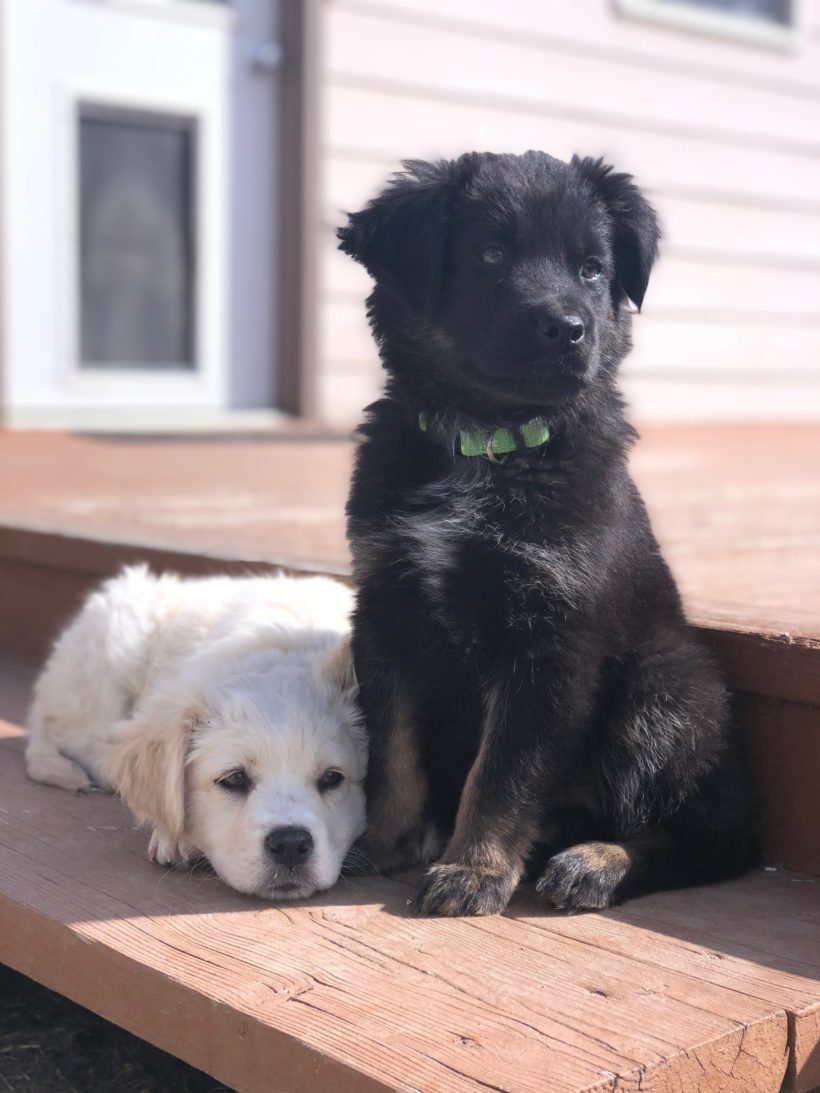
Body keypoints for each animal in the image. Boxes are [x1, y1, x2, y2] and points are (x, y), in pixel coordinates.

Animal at [26, 568, 365, 900]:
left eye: (332, 778)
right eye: (234, 779)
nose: (291, 844)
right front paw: (178, 838)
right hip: (110, 656)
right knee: (74, 734)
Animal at [341, 151, 756, 913]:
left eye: (592, 268)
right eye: (490, 255)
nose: (567, 328)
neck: (487, 442)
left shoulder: (553, 636)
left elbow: (504, 771)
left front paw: (472, 870)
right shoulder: (387, 608)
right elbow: (393, 750)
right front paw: (382, 841)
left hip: (666, 686)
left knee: (715, 839)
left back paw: (596, 860)